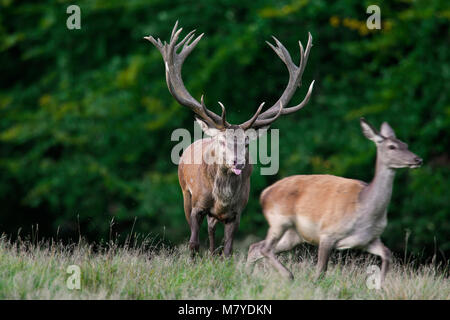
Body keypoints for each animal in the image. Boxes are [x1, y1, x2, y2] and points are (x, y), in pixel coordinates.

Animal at [146, 21, 314, 258]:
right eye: (222, 141)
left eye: (247, 142)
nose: (238, 162)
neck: (222, 198)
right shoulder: (197, 204)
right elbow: (193, 243)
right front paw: (192, 260)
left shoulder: (237, 212)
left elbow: (228, 249)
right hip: (184, 193)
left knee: (212, 231)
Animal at [246, 119, 422, 284]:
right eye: (392, 146)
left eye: (405, 144)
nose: (418, 159)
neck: (365, 210)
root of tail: (264, 194)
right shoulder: (327, 233)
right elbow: (321, 271)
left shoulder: (369, 239)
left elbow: (387, 254)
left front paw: (379, 286)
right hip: (279, 220)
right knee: (265, 248)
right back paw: (288, 275)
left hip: (293, 234)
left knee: (256, 247)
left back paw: (247, 275)